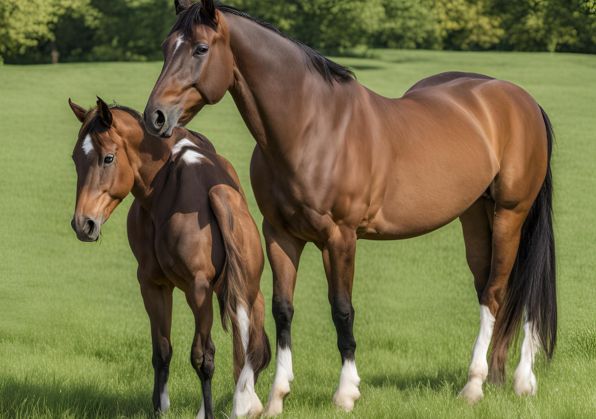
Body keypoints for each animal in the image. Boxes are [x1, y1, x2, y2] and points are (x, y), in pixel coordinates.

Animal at [70, 98, 272, 419]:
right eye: (76, 159)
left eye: (108, 158)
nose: (83, 224)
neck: (164, 188)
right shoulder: (154, 285)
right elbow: (162, 350)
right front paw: (159, 407)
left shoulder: (194, 289)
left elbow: (202, 356)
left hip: (219, 292)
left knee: (224, 349)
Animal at [142, 0, 556, 414]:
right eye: (165, 47)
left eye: (200, 49)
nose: (155, 117)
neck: (312, 129)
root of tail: (523, 101)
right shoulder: (280, 235)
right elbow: (282, 309)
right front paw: (277, 396)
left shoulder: (340, 237)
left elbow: (342, 311)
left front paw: (346, 392)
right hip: (475, 217)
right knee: (493, 287)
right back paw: (495, 378)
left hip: (511, 214)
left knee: (504, 291)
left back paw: (493, 383)